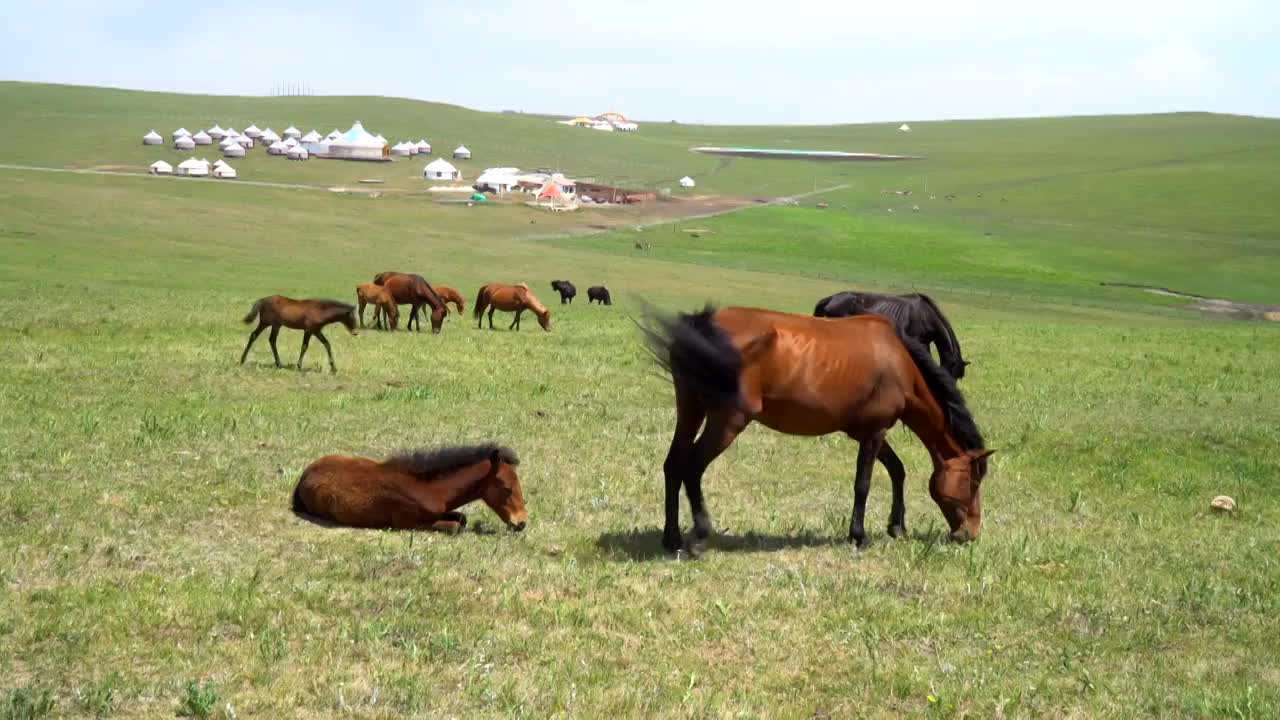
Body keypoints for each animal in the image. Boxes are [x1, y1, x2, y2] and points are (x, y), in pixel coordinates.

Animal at [293, 440, 527, 530]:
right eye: (507, 488)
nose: (521, 523)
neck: (429, 488)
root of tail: (305, 473)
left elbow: (462, 517)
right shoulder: (409, 523)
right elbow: (455, 527)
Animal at [645, 302, 993, 556]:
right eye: (973, 482)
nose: (970, 533)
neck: (899, 363)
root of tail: (703, 322)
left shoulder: (866, 431)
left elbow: (897, 470)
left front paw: (897, 526)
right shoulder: (875, 432)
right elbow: (863, 484)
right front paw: (858, 536)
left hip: (691, 408)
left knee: (673, 465)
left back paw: (672, 539)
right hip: (728, 420)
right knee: (692, 467)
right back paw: (700, 536)